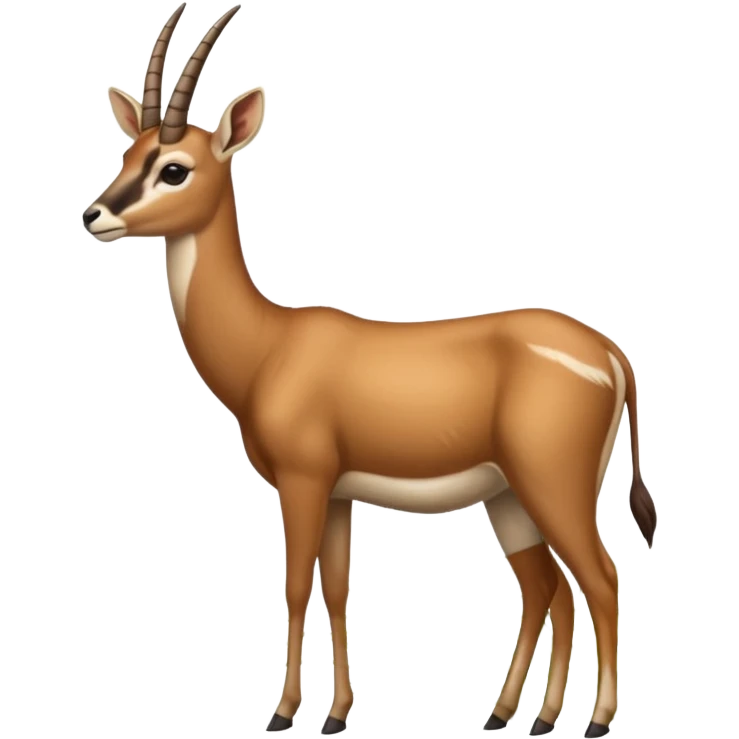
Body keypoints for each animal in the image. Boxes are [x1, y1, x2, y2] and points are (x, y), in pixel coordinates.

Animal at [81, 3, 657, 736]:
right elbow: (335, 585)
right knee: (546, 588)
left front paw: (283, 713)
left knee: (601, 578)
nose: (93, 213)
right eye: (130, 153)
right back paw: (517, 715)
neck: (269, 345)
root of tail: (610, 354)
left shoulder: (301, 484)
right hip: (508, 497)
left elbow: (296, 584)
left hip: (552, 485)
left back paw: (596, 718)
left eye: (174, 168)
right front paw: (334, 715)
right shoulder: (337, 493)